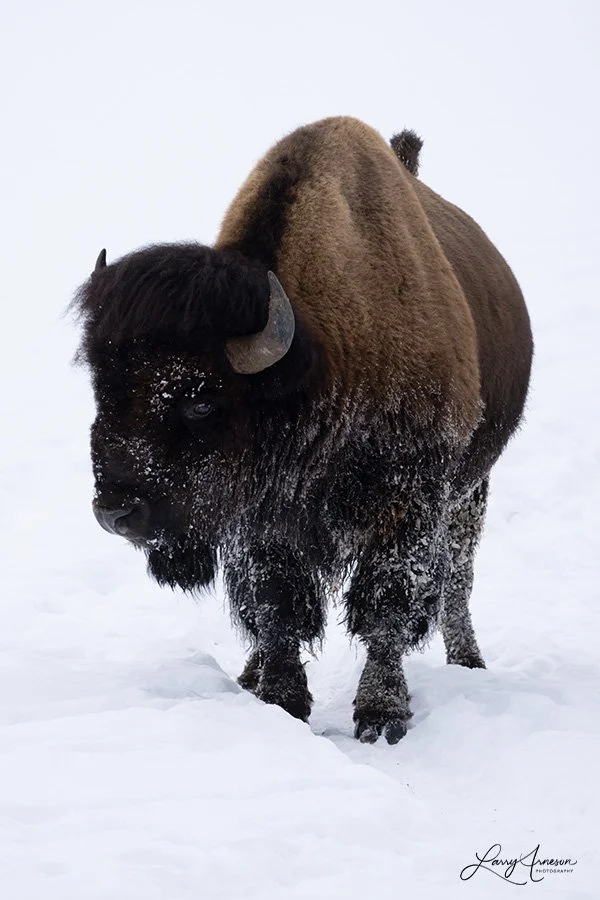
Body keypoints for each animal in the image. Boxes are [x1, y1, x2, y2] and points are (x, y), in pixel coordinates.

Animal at [74, 117, 533, 743]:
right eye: (101, 383)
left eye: (200, 401)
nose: (115, 511)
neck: (321, 355)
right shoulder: (265, 523)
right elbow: (278, 609)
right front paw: (281, 700)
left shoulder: (409, 503)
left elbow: (386, 607)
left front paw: (382, 715)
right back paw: (249, 673)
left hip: (471, 492)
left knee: (457, 580)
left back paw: (469, 661)